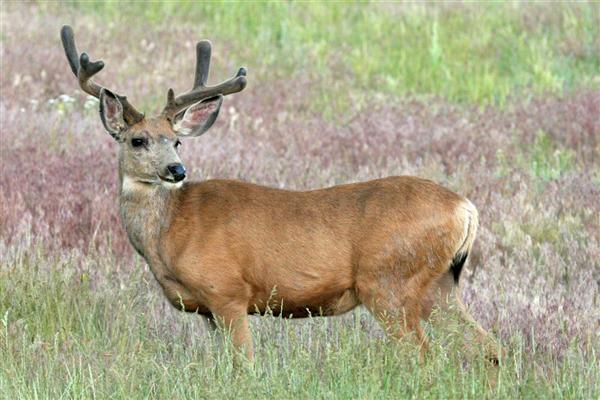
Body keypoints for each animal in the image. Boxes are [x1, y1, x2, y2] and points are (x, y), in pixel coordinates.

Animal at [62, 24, 502, 362]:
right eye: (138, 140)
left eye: (176, 141)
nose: (177, 170)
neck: (170, 233)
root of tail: (465, 208)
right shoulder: (207, 310)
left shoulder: (228, 293)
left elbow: (244, 364)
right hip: (439, 285)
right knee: (488, 346)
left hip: (389, 281)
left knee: (423, 354)